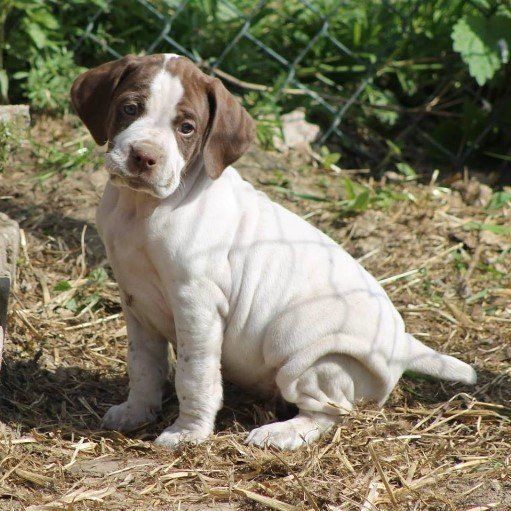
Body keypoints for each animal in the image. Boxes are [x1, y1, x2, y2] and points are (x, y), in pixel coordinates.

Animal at [71, 54, 477, 450]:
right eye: (129, 108)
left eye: (186, 128)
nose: (143, 157)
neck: (141, 208)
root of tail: (401, 344)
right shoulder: (136, 301)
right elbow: (143, 366)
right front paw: (136, 412)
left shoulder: (197, 305)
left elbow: (194, 374)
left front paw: (188, 433)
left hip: (312, 359)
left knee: (329, 413)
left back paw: (280, 434)